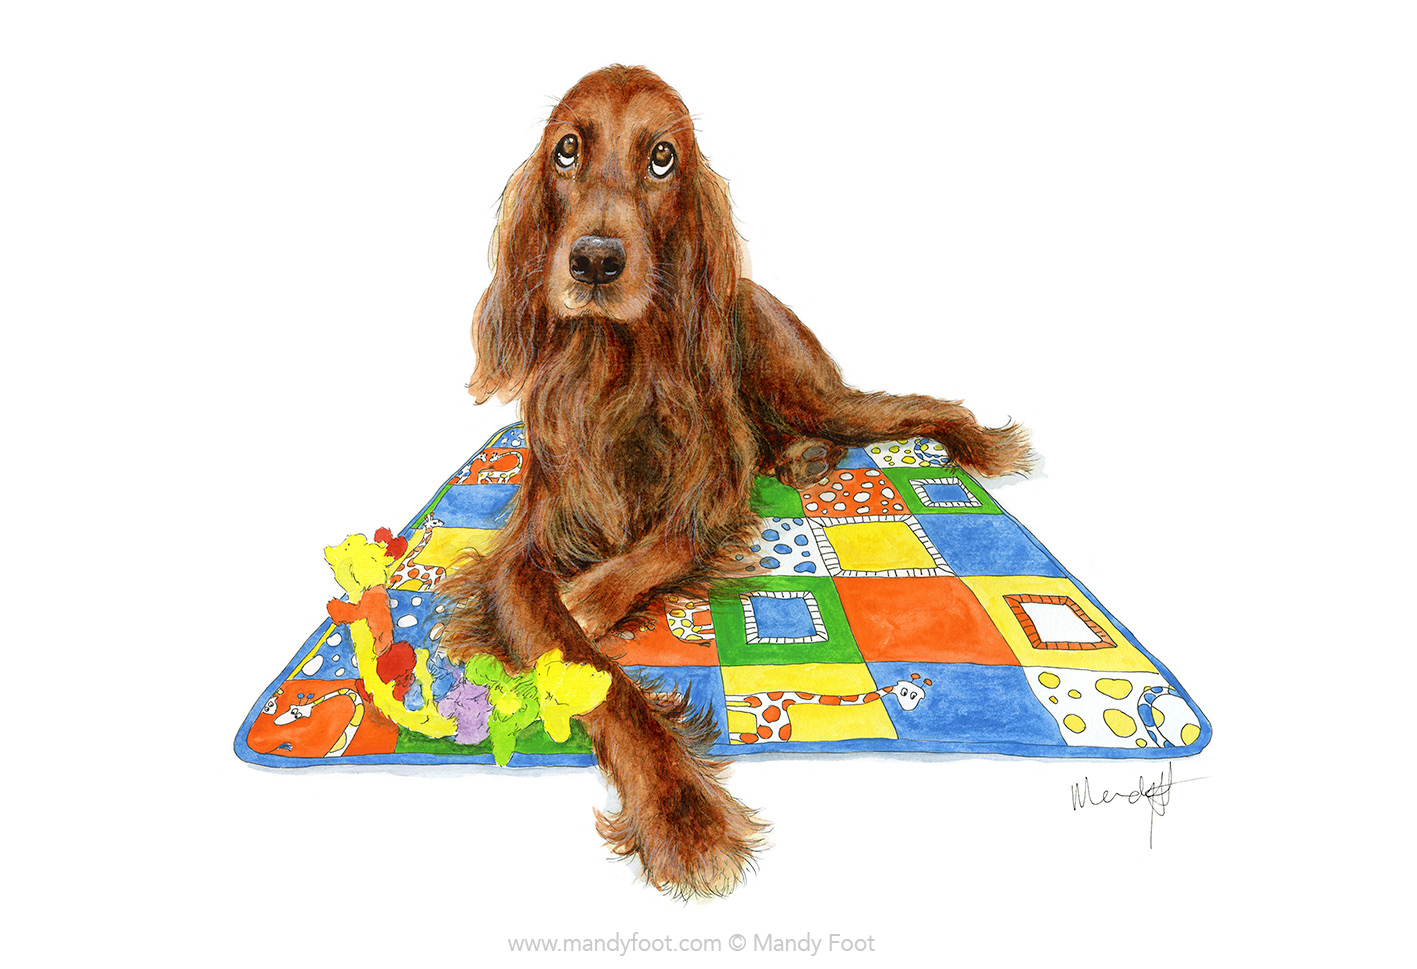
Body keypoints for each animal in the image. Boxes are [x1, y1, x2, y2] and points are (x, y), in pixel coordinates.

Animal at [441, 65, 1030, 896]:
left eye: (662, 157)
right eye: (566, 149)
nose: (594, 260)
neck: (616, 367)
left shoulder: (714, 490)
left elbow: (666, 543)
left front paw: (593, 599)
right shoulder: (523, 550)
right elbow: (588, 665)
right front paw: (680, 811)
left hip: (800, 382)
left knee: (898, 411)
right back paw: (802, 458)